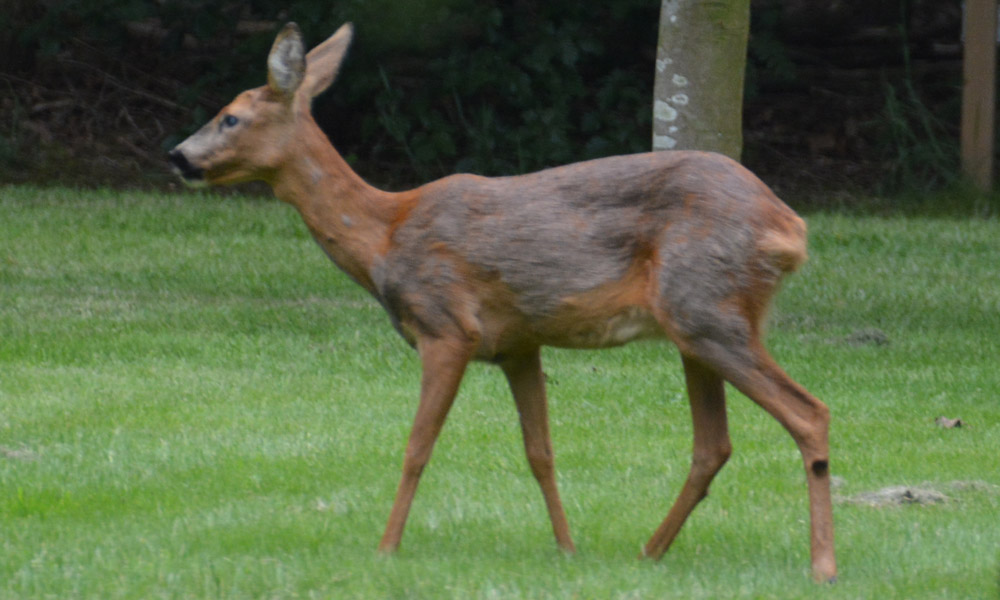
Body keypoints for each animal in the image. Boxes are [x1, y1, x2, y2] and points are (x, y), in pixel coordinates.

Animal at [170, 23, 836, 580]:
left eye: (229, 118)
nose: (176, 156)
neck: (385, 234)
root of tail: (790, 228)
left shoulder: (447, 326)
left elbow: (416, 447)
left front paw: (385, 549)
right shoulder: (519, 343)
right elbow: (540, 451)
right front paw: (567, 550)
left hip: (707, 306)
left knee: (808, 412)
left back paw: (821, 566)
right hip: (698, 323)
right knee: (713, 444)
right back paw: (648, 552)